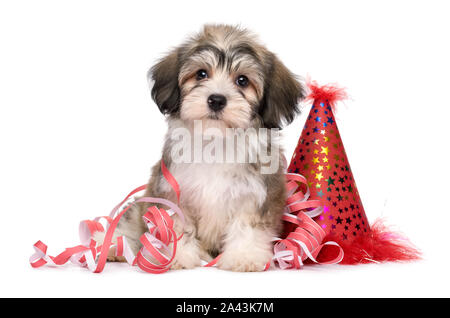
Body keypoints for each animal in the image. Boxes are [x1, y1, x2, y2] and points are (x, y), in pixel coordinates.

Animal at [96, 24, 304, 272]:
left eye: (242, 80)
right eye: (201, 74)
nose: (216, 99)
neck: (216, 140)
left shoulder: (256, 194)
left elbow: (247, 227)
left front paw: (244, 256)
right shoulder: (172, 191)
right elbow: (176, 227)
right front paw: (175, 256)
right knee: (130, 223)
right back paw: (110, 245)